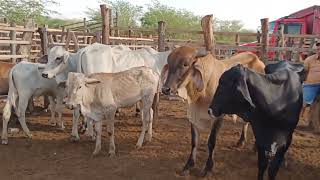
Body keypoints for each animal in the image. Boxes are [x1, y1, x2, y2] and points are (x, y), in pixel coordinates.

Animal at [161, 45, 264, 176]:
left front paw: (208, 168)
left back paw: (255, 147)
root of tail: (257, 59)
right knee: (246, 122)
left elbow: (211, 142)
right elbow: (194, 142)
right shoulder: (193, 117)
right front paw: (188, 166)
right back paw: (241, 141)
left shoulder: (218, 117)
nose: (166, 89)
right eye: (169, 62)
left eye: (185, 64)